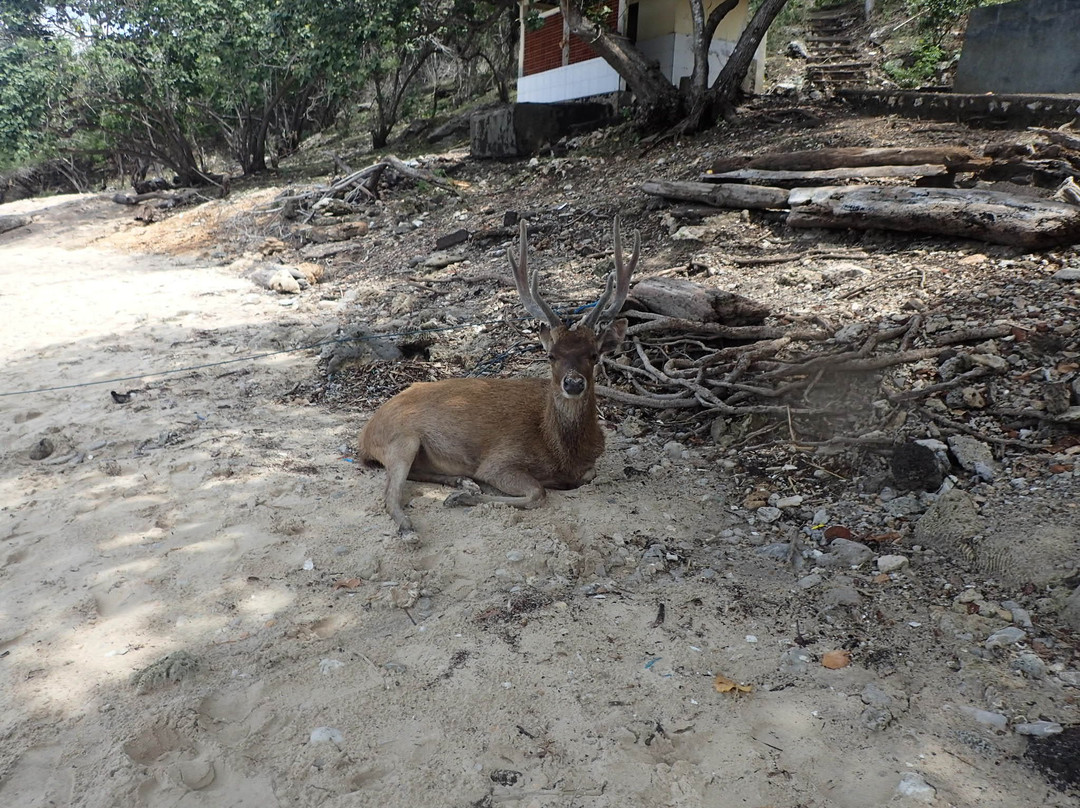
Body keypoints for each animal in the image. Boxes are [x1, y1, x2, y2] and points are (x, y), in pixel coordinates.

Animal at [358, 218, 635, 540]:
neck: (561, 450)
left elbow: (586, 476)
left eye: (594, 355)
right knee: (390, 495)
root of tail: (365, 436)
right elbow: (538, 492)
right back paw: (413, 526)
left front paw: (464, 492)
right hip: (401, 437)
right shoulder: (499, 461)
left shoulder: (587, 467)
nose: (574, 383)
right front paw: (462, 499)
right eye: (551, 355)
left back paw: (461, 482)